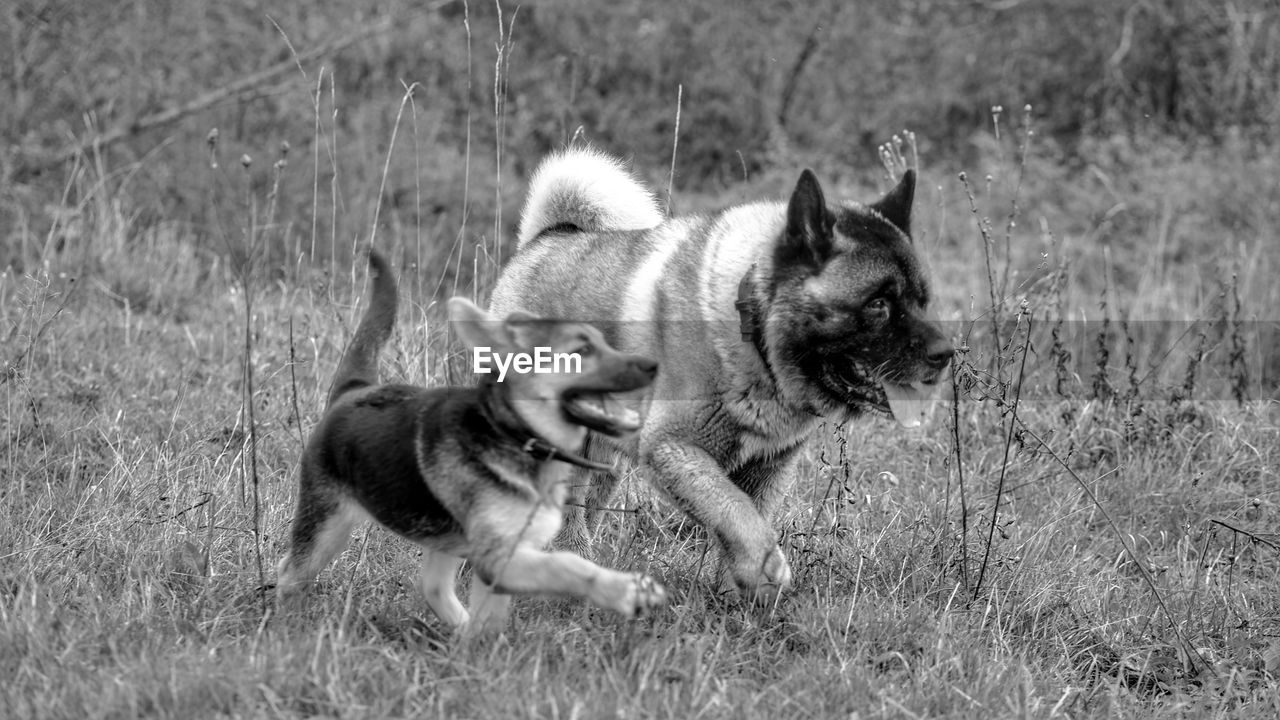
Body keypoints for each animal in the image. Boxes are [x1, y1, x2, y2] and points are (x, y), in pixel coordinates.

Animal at [276, 249, 665, 630]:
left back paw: (458, 628)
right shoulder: (498, 557)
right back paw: (287, 621)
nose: (653, 365)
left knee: (432, 586)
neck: (516, 437)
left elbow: (490, 618)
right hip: (326, 524)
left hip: (445, 540)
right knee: (290, 572)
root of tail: (353, 391)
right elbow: (568, 565)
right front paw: (623, 590)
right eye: (581, 351)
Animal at [488, 149, 952, 599]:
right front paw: (767, 570)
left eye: (922, 301)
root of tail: (547, 237)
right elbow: (736, 513)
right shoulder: (673, 449)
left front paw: (738, 595)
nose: (946, 353)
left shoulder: (766, 467)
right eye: (878, 304)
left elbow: (746, 518)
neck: (753, 326)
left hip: (603, 455)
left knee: (583, 506)